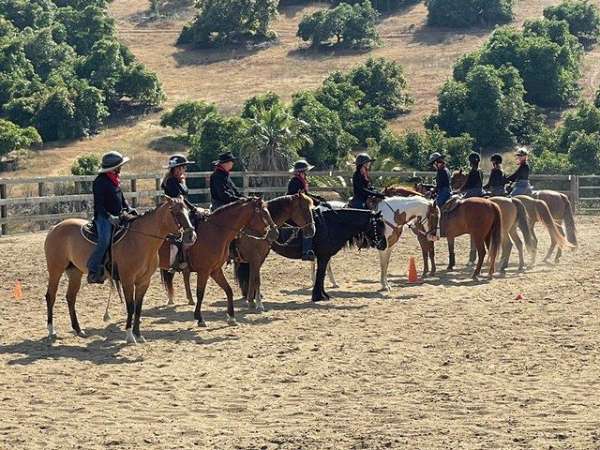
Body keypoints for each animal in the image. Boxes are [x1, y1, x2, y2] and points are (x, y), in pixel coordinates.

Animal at [44, 195, 195, 342]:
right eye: (175, 212)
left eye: (188, 211)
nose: (191, 236)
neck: (139, 240)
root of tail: (55, 227)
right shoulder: (127, 280)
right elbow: (130, 306)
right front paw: (129, 335)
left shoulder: (144, 281)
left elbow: (138, 307)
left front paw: (138, 334)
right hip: (55, 270)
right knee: (51, 296)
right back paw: (51, 330)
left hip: (75, 272)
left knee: (71, 297)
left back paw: (78, 329)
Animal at [161, 199, 280, 328]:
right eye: (263, 213)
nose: (275, 233)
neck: (215, 232)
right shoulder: (204, 271)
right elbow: (200, 293)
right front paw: (200, 318)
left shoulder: (215, 270)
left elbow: (229, 290)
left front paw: (231, 317)